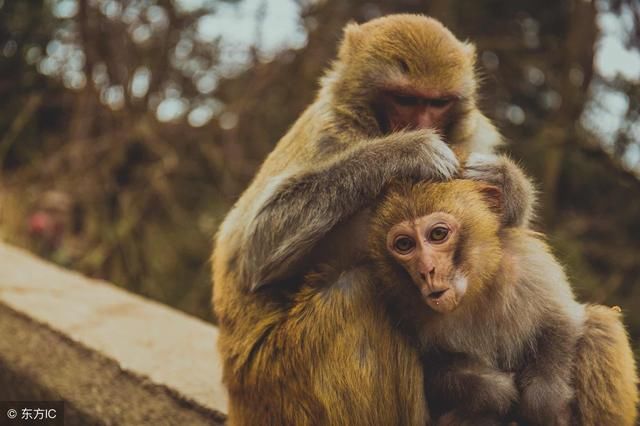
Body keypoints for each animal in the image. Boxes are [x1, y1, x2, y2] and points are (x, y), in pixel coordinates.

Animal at [211, 15, 536, 424]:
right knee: (359, 290)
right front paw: (405, 150)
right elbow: (254, 249)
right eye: (405, 99)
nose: (423, 124)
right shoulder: (330, 135)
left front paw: (508, 184)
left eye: (438, 102)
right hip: (276, 383)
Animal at [368, 180, 636, 426]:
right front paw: (494, 391)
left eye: (437, 234)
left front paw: (545, 400)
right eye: (405, 244)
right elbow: (435, 368)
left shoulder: (527, 264)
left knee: (599, 326)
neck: (474, 289)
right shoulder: (404, 306)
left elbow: (562, 321)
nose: (426, 271)